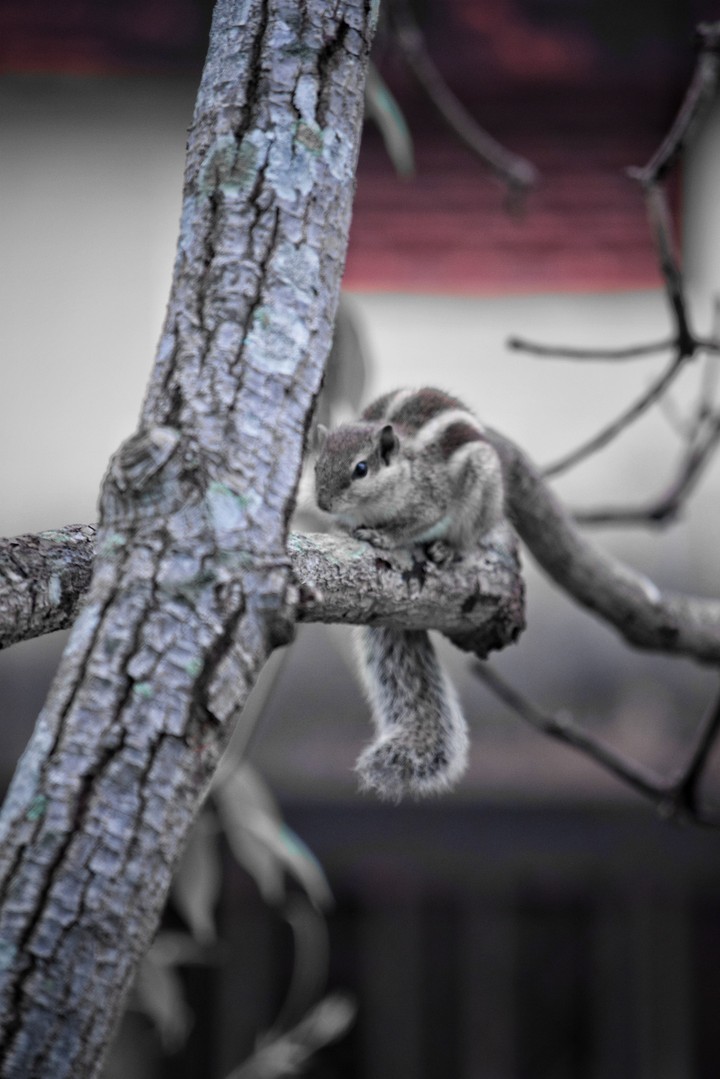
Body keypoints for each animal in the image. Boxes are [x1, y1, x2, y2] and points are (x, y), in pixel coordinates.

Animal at [314, 386, 506, 801]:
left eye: (361, 469)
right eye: (317, 464)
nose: (322, 502)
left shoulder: (430, 500)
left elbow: (415, 524)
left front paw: (385, 537)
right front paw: (343, 528)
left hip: (481, 493)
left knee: (468, 535)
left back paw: (449, 548)